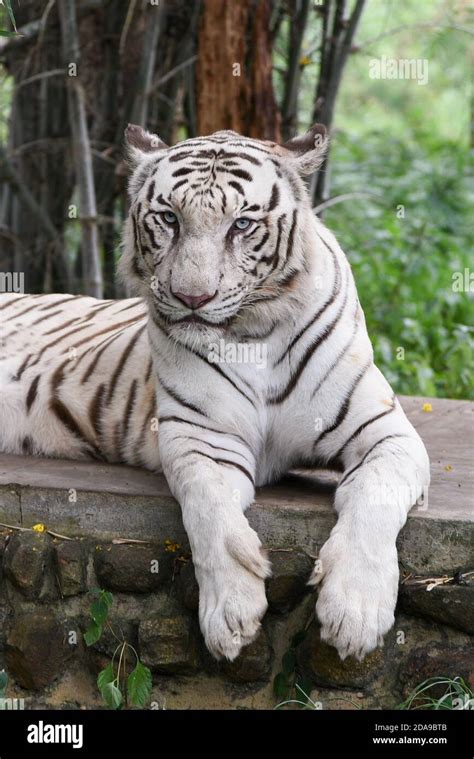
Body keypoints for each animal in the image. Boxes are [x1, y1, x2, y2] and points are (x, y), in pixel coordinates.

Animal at [0, 121, 430, 664]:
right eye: (169, 218)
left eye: (241, 225)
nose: (192, 298)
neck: (256, 333)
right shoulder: (203, 437)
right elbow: (210, 512)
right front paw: (230, 614)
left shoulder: (385, 433)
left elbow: (374, 496)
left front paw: (355, 612)